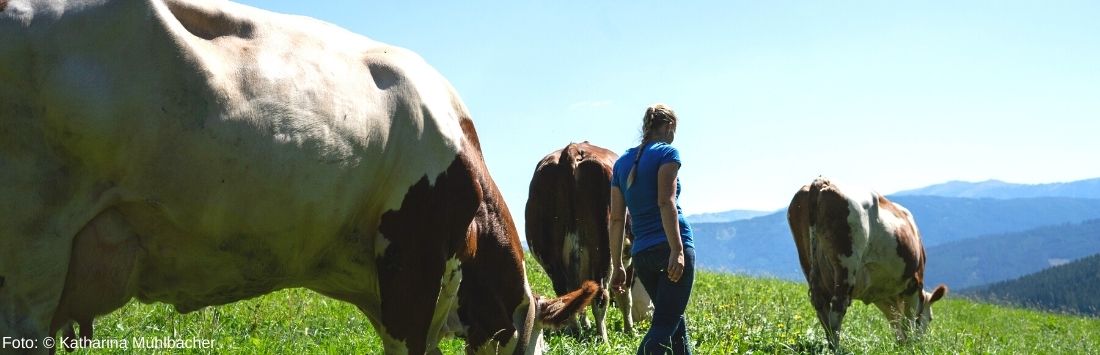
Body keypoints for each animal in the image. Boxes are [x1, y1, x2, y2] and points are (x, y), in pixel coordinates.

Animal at [525, 141, 651, 342]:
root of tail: (572, 150)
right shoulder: (627, 258)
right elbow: (625, 295)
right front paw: (629, 330)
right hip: (604, 251)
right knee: (601, 296)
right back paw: (603, 339)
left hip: (550, 255)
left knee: (566, 291)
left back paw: (575, 331)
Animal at [792, 176, 946, 349]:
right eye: (931, 318)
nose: (921, 344)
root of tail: (823, 181)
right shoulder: (914, 283)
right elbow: (908, 321)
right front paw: (909, 346)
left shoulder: (881, 296)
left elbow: (895, 321)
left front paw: (902, 344)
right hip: (846, 264)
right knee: (838, 308)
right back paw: (836, 348)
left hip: (807, 260)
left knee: (821, 307)